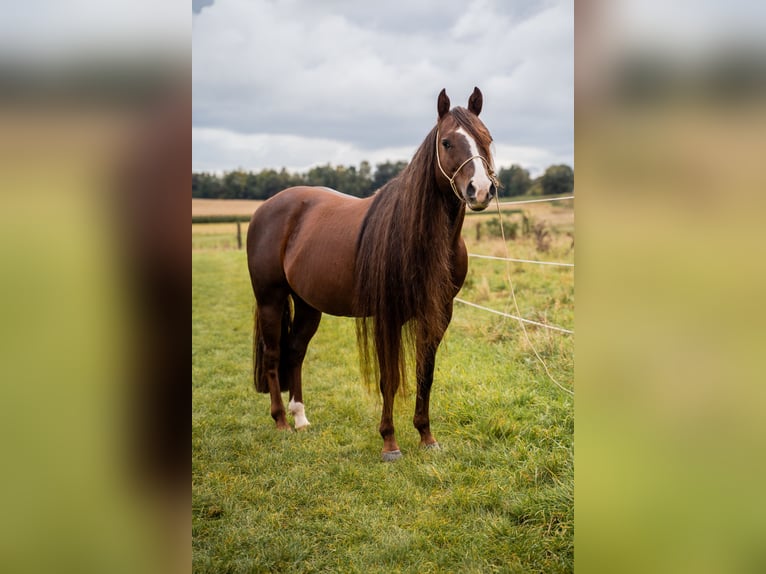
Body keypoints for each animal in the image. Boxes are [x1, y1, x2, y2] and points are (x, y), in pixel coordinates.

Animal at [246, 87, 498, 461]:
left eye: (487, 139)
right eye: (448, 142)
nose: (480, 190)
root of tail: (265, 208)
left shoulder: (438, 314)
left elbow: (425, 375)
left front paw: (426, 437)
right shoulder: (387, 317)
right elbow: (389, 379)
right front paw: (389, 443)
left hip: (308, 306)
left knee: (296, 351)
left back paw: (301, 419)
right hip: (271, 300)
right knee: (275, 355)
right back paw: (280, 421)